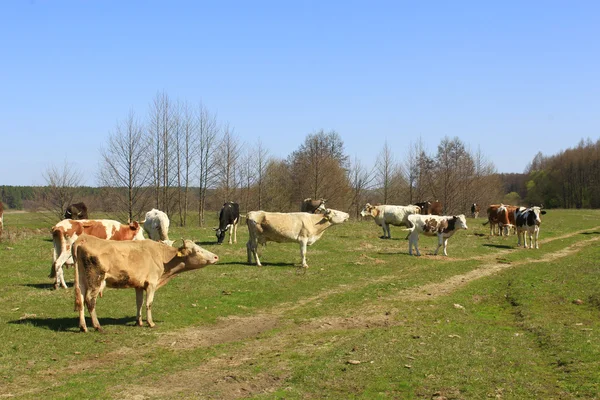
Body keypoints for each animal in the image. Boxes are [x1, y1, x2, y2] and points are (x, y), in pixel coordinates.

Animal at [72, 234, 218, 332]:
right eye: (197, 251)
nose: (216, 256)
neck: (162, 257)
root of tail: (83, 238)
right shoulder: (151, 284)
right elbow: (149, 303)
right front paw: (150, 323)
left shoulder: (139, 285)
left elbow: (139, 302)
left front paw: (139, 322)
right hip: (95, 279)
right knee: (90, 300)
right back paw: (97, 326)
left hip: (82, 280)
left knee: (80, 299)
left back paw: (83, 327)